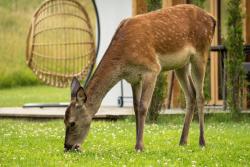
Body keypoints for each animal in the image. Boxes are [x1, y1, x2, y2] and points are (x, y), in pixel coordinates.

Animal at [63, 4, 216, 152]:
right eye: (64, 121)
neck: (123, 62)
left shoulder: (152, 69)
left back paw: (202, 142)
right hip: (181, 65)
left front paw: (140, 146)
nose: (68, 147)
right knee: (191, 94)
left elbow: (143, 107)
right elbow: (135, 108)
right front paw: (136, 143)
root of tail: (212, 19)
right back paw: (183, 141)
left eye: (72, 123)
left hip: (201, 53)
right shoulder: (133, 78)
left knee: (201, 96)